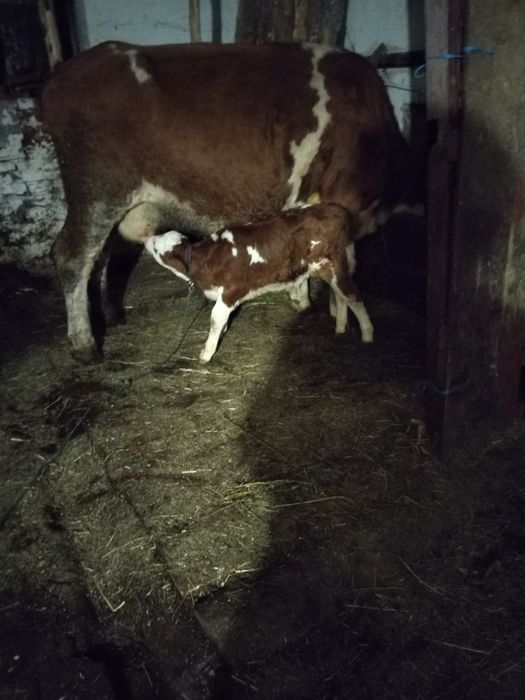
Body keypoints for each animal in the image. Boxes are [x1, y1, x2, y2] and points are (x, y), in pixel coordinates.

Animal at [144, 203, 373, 363]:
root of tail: (334, 208)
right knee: (342, 295)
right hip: (327, 267)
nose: (146, 239)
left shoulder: (230, 291)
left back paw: (367, 334)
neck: (207, 258)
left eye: (156, 246)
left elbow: (215, 319)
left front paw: (206, 353)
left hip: (332, 262)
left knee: (353, 295)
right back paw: (340, 328)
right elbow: (222, 320)